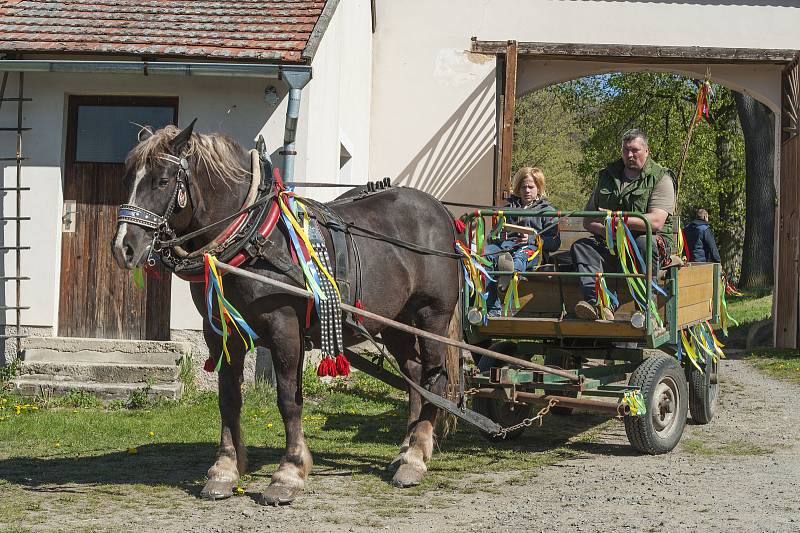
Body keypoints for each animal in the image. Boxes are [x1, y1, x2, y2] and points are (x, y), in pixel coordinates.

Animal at [110, 122, 460, 504]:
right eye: (125, 177)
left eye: (162, 180)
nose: (123, 247)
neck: (252, 238)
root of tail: (441, 211)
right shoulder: (220, 332)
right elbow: (228, 399)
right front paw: (224, 470)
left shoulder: (284, 328)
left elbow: (289, 400)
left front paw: (288, 473)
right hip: (395, 322)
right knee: (415, 376)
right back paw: (406, 449)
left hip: (431, 316)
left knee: (435, 378)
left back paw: (415, 459)